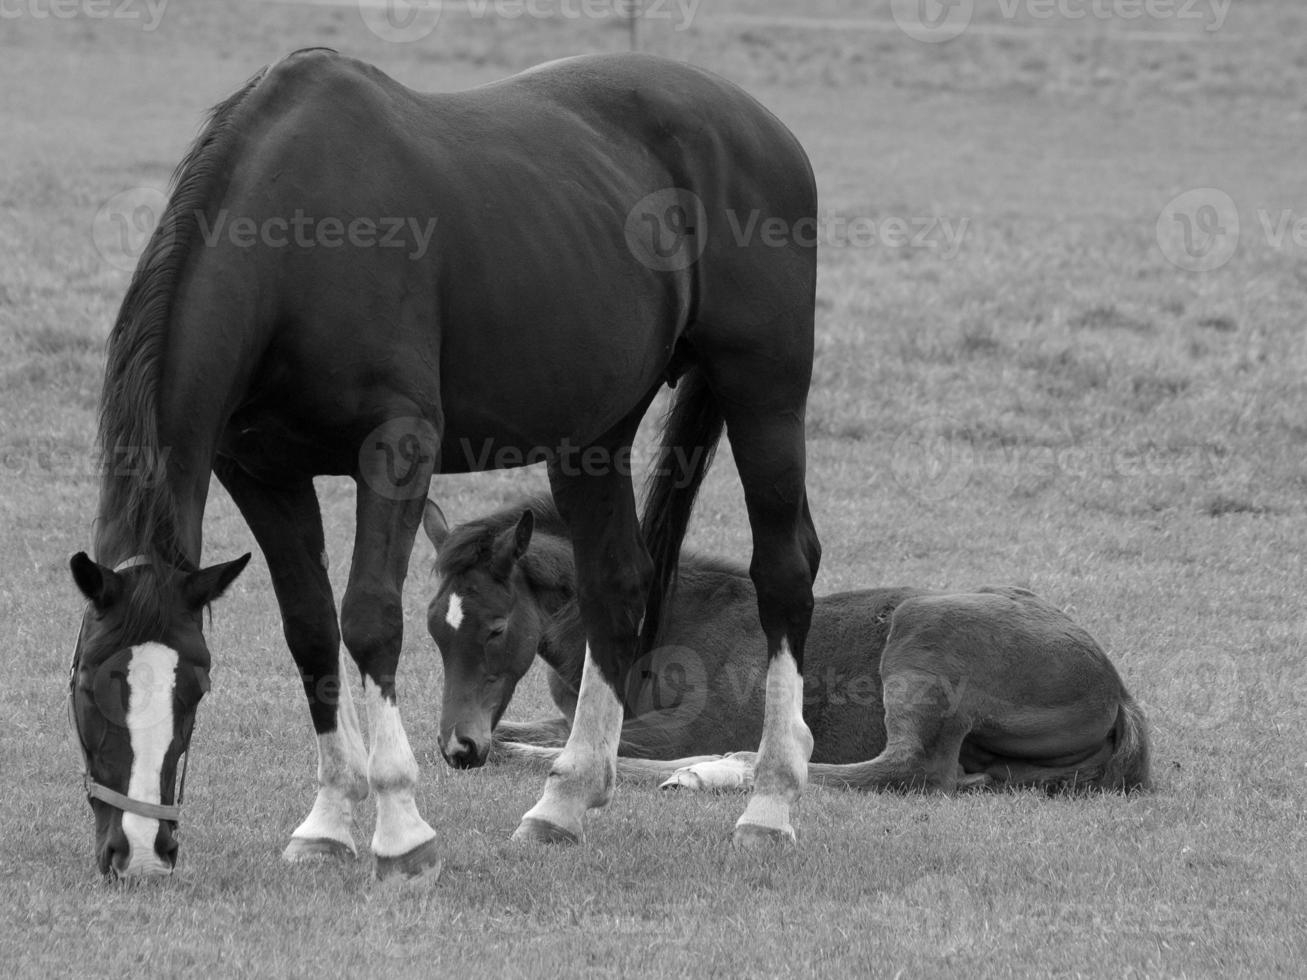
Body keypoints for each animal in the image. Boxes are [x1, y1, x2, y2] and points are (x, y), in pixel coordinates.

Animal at [68, 48, 815, 883]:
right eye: (86, 685)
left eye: (194, 687)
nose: (136, 850)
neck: (297, 241)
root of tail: (757, 124)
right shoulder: (261, 472)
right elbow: (310, 631)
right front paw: (326, 825)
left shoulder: (397, 448)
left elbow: (369, 623)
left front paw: (400, 830)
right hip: (593, 434)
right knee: (616, 586)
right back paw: (562, 802)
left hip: (764, 396)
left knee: (785, 573)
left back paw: (769, 803)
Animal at [423, 499, 1150, 799]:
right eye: (433, 626)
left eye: (494, 628)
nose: (459, 747)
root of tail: (1118, 690)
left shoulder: (692, 721)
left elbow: (575, 745)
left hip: (924, 638)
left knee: (908, 769)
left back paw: (724, 769)